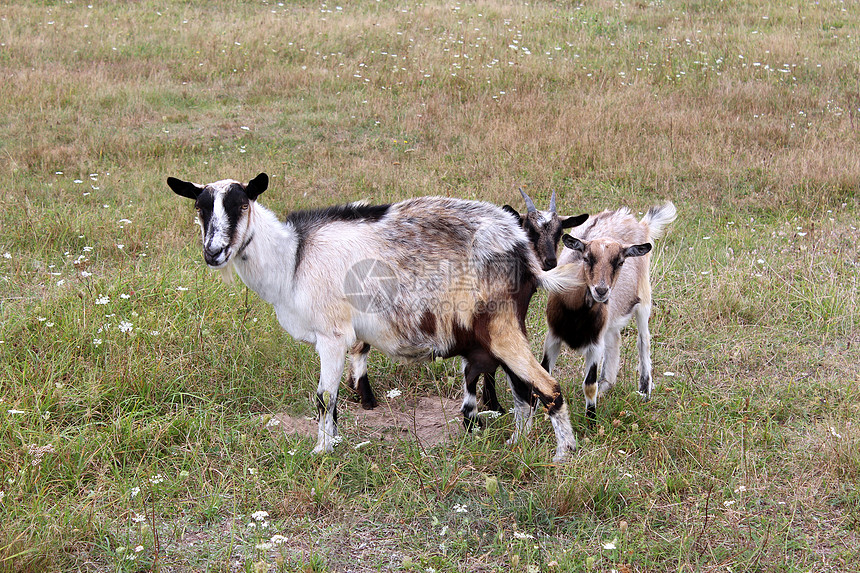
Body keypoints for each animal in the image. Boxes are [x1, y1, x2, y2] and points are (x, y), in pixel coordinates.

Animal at [346, 189, 588, 428]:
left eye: (559, 231)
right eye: (530, 229)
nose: (550, 262)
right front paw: (492, 404)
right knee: (360, 346)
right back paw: (366, 398)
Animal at [540, 203, 676, 418]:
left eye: (620, 262)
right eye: (587, 258)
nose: (601, 290)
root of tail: (639, 223)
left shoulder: (595, 344)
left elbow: (589, 384)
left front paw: (591, 420)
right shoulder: (553, 337)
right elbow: (545, 375)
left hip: (644, 297)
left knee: (643, 340)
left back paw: (644, 390)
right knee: (615, 339)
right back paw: (606, 383)